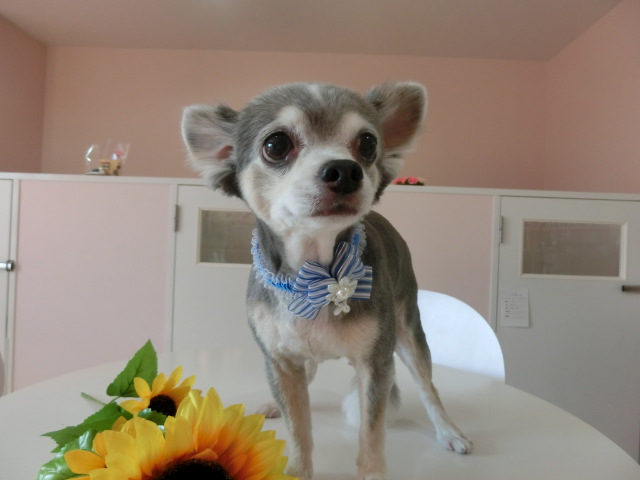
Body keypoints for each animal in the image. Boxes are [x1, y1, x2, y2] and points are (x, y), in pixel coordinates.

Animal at [182, 82, 472, 480]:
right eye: (276, 145)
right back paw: (274, 404)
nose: (346, 170)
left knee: (428, 388)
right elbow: (298, 428)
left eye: (368, 143)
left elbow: (371, 433)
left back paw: (449, 432)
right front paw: (297, 467)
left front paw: (372, 473)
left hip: (407, 331)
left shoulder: (375, 363)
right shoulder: (280, 361)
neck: (314, 276)